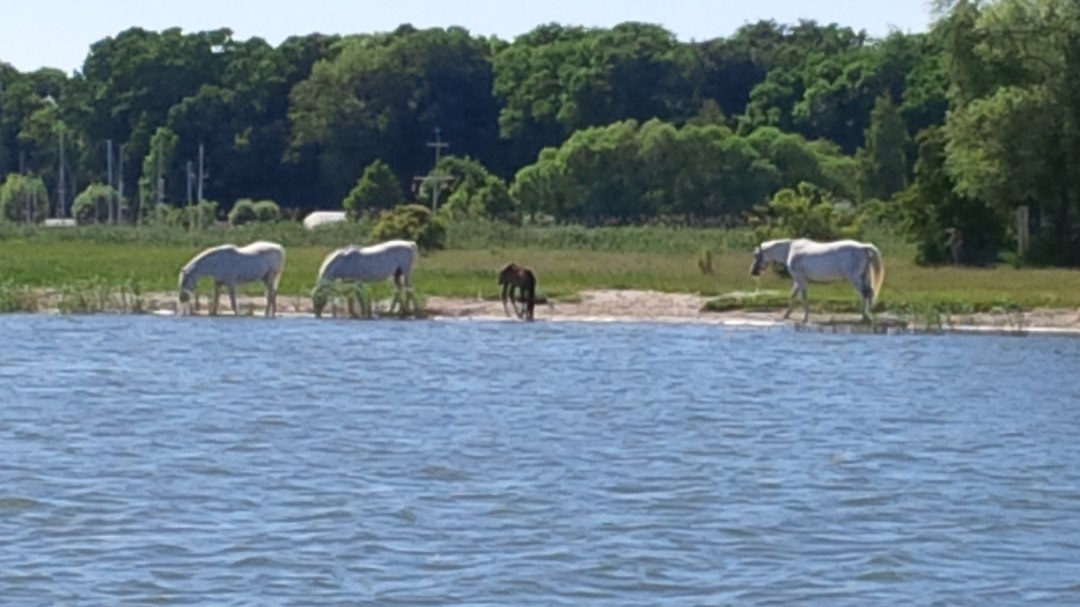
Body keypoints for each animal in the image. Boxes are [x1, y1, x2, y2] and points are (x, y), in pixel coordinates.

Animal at [750, 238, 885, 323]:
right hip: (863, 276)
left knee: (866, 293)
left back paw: (866, 317)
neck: (790, 250)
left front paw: (805, 318)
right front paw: (786, 314)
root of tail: (862, 247)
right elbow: (792, 296)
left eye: (756, 255)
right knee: (866, 294)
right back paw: (865, 316)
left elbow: (803, 297)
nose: (753, 272)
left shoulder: (800, 280)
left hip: (854, 278)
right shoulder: (798, 280)